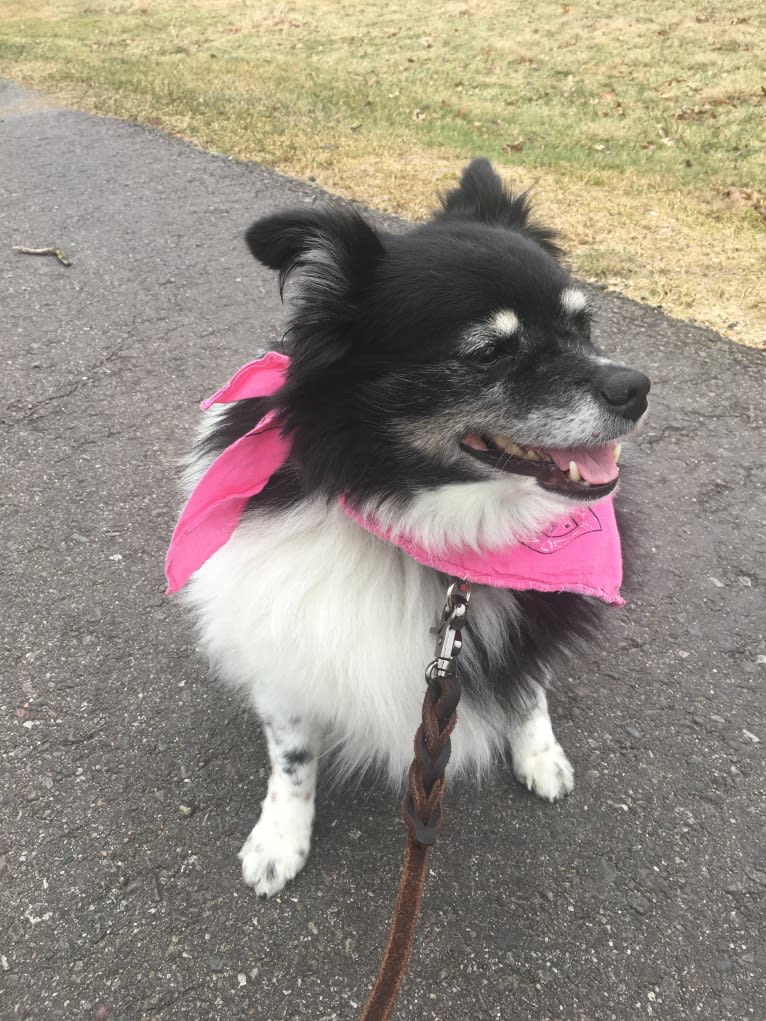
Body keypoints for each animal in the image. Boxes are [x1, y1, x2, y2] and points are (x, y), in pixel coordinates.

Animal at [169, 155, 653, 898]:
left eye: (584, 328)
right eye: (488, 353)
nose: (637, 389)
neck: (423, 518)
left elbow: (529, 686)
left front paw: (537, 748)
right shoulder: (283, 642)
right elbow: (292, 754)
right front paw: (280, 838)